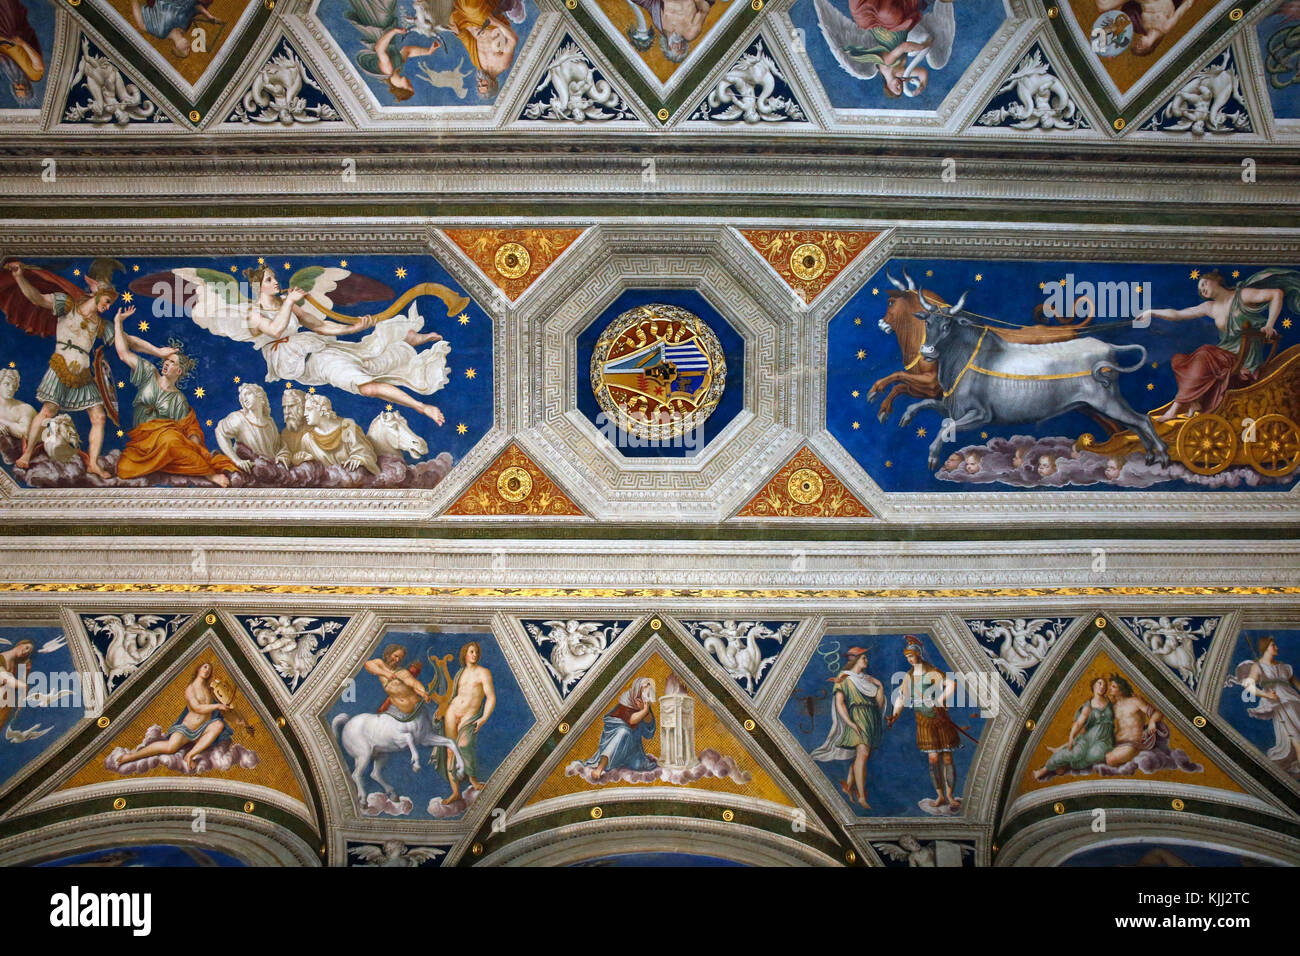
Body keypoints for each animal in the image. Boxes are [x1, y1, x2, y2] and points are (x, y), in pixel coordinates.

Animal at [332, 707, 465, 806]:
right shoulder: (399, 739)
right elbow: (409, 737)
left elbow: (450, 742)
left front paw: (460, 770)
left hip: (381, 756)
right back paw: (363, 800)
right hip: (364, 756)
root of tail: (347, 723)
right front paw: (416, 764)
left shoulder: (426, 739)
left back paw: (392, 794)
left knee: (374, 774)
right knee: (356, 775)